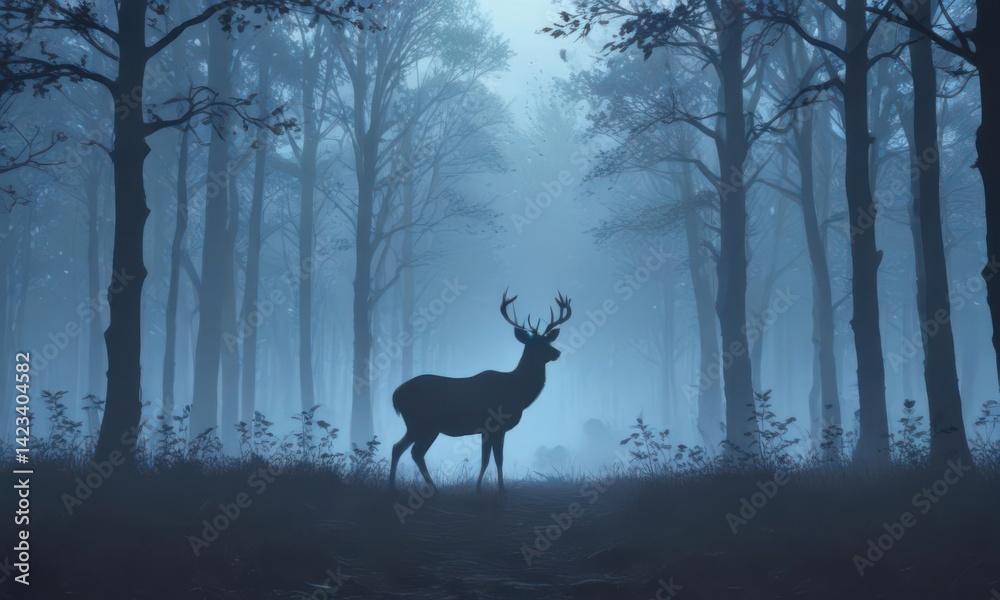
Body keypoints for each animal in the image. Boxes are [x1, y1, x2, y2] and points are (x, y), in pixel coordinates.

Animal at [388, 290, 572, 493]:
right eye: (535, 344)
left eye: (547, 340)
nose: (557, 353)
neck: (517, 393)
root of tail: (396, 395)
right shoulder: (497, 425)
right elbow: (498, 459)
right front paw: (500, 490)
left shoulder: (486, 430)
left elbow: (485, 459)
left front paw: (478, 488)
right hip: (421, 423)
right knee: (409, 450)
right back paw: (416, 488)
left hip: (423, 426)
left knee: (405, 449)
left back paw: (402, 487)